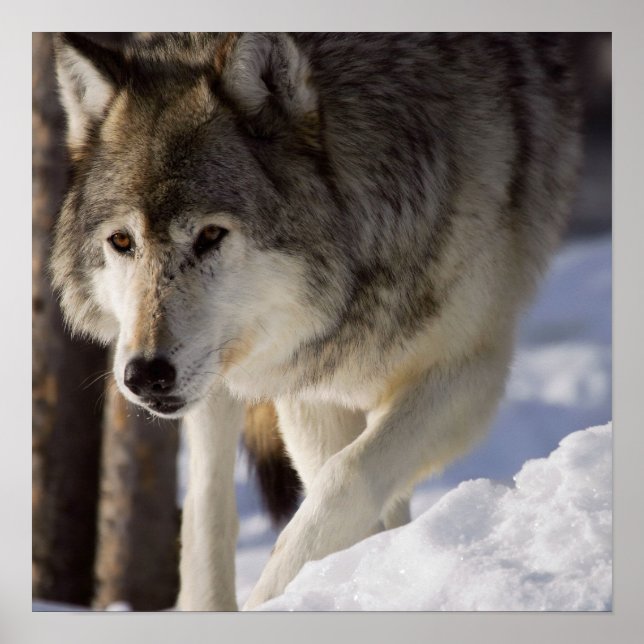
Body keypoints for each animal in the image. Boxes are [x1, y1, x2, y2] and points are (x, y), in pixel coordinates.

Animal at [51, 32, 581, 610]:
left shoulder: (469, 370)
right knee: (206, 502)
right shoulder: (310, 385)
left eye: (211, 235)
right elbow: (332, 485)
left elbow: (344, 478)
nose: (144, 376)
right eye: (122, 241)